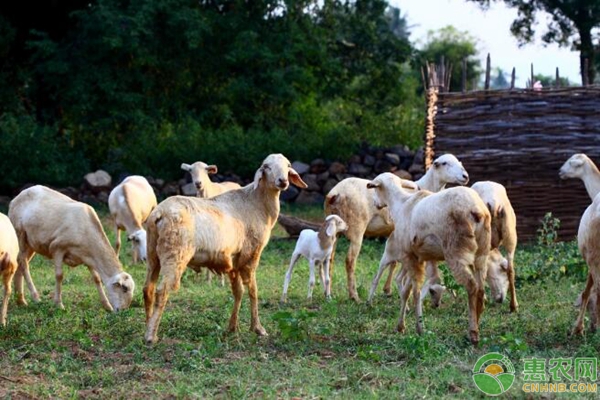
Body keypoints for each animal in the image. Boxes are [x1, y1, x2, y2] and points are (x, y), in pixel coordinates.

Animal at [143, 153, 308, 344]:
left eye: (288, 165)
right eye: (267, 166)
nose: (283, 181)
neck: (258, 204)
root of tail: (159, 213)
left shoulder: (233, 259)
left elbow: (238, 292)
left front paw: (232, 328)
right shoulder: (251, 253)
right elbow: (253, 290)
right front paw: (258, 328)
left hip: (152, 252)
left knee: (148, 289)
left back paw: (146, 325)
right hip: (175, 253)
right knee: (162, 291)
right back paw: (151, 336)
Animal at [326, 155, 472, 302]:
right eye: (445, 163)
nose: (465, 176)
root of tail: (335, 193)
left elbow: (394, 263)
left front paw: (388, 289)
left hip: (334, 230)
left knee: (330, 258)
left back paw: (329, 293)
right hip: (357, 229)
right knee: (350, 260)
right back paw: (354, 296)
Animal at [368, 173, 490, 346]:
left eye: (375, 188)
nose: (375, 204)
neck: (400, 205)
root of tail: (477, 210)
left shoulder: (409, 256)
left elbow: (415, 293)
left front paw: (419, 328)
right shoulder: (419, 257)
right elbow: (406, 291)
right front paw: (401, 326)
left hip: (457, 251)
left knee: (472, 287)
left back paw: (473, 332)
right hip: (481, 252)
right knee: (480, 288)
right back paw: (478, 320)